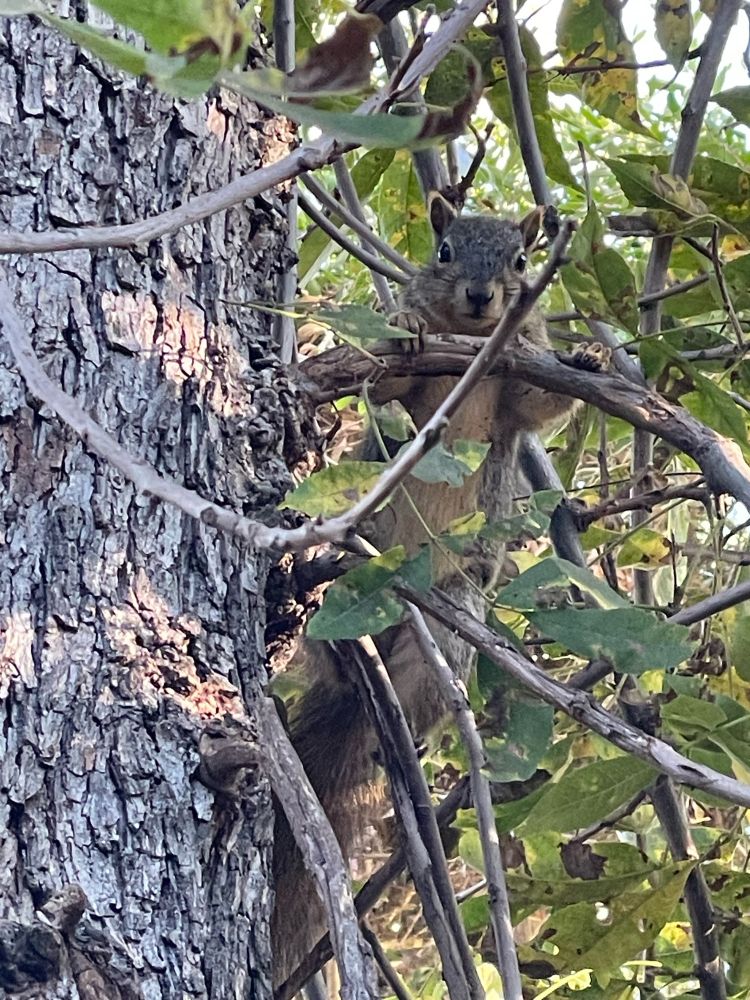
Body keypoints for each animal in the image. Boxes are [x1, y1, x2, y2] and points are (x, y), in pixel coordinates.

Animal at [272, 195, 606, 989]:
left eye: (521, 260)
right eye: (444, 250)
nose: (483, 297)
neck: (475, 343)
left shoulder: (514, 386)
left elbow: (540, 404)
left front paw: (585, 359)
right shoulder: (415, 380)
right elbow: (390, 385)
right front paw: (411, 322)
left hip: (454, 607)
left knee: (427, 675)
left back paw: (406, 722)